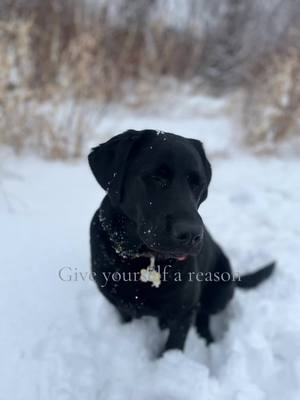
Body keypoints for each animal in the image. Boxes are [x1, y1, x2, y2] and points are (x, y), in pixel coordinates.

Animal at [88, 130, 276, 354]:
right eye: (156, 177)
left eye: (197, 183)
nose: (191, 234)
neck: (143, 259)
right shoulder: (120, 305)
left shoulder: (183, 311)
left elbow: (174, 345)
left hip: (219, 293)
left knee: (204, 316)